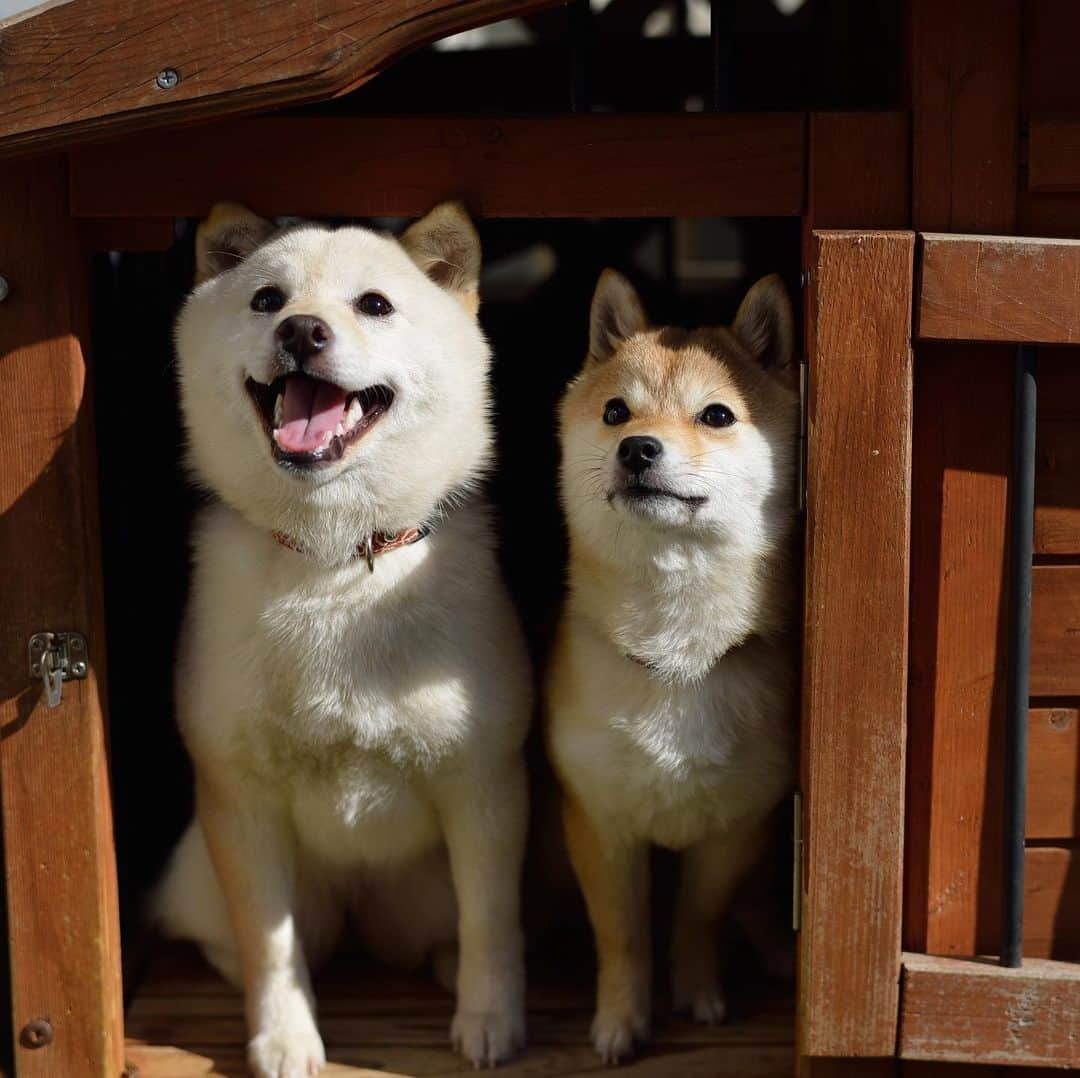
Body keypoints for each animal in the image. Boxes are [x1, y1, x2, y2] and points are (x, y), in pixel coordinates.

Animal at [154, 204, 533, 1078]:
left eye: (375, 304)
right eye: (266, 299)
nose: (301, 330)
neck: (334, 562)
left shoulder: (485, 788)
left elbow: (492, 924)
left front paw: (491, 1019)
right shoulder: (241, 803)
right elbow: (270, 949)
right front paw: (284, 1037)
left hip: (424, 891)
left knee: (449, 931)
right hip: (236, 881)